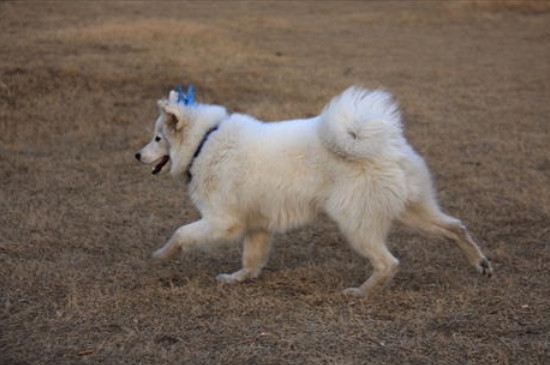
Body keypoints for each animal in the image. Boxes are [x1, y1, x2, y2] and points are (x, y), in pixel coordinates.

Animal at [136, 86, 494, 298]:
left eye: (157, 138)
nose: (137, 155)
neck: (204, 142)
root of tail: (383, 145)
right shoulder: (257, 226)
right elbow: (251, 260)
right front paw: (238, 279)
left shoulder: (223, 222)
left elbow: (181, 233)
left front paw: (161, 255)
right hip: (413, 211)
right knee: (455, 227)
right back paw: (481, 265)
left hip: (355, 225)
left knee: (388, 262)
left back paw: (361, 293)